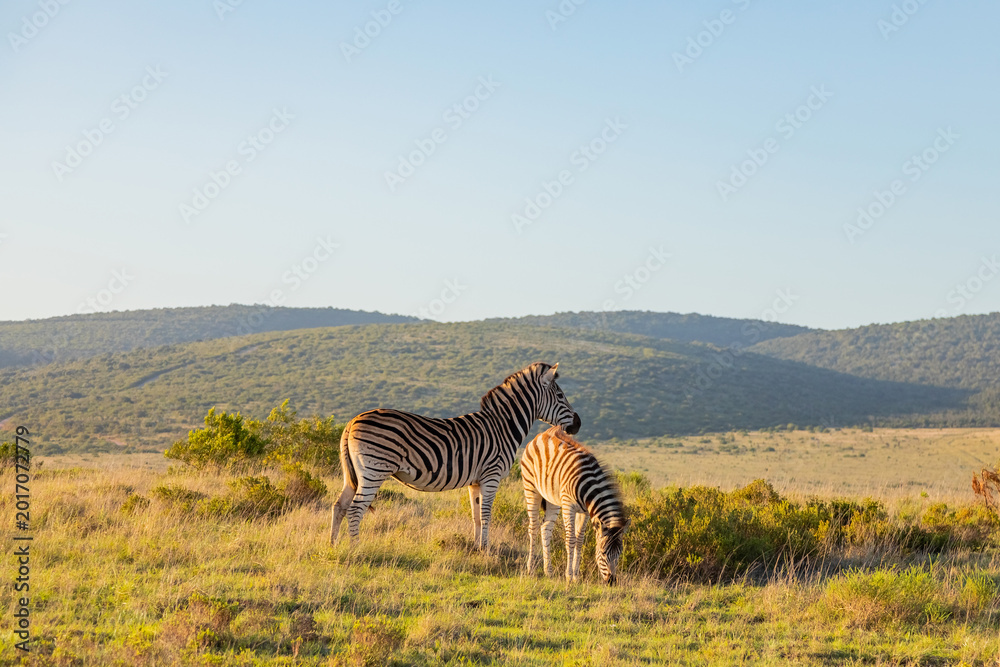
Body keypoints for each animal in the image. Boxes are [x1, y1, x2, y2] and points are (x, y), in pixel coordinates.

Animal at [330, 362, 580, 550]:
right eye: (560, 395)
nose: (578, 423)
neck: (502, 427)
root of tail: (351, 421)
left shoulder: (475, 481)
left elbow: (476, 516)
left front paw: (477, 548)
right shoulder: (491, 475)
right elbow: (487, 514)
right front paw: (486, 550)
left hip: (356, 474)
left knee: (339, 506)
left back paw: (333, 546)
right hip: (374, 470)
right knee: (355, 509)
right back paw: (355, 549)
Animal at [521, 425, 628, 585]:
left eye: (619, 553)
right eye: (603, 553)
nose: (611, 581)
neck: (588, 487)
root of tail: (540, 435)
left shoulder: (584, 512)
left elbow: (579, 540)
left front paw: (576, 576)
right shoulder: (569, 506)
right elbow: (570, 539)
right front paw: (568, 576)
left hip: (552, 499)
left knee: (545, 528)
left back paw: (548, 571)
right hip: (531, 487)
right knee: (533, 527)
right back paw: (531, 569)